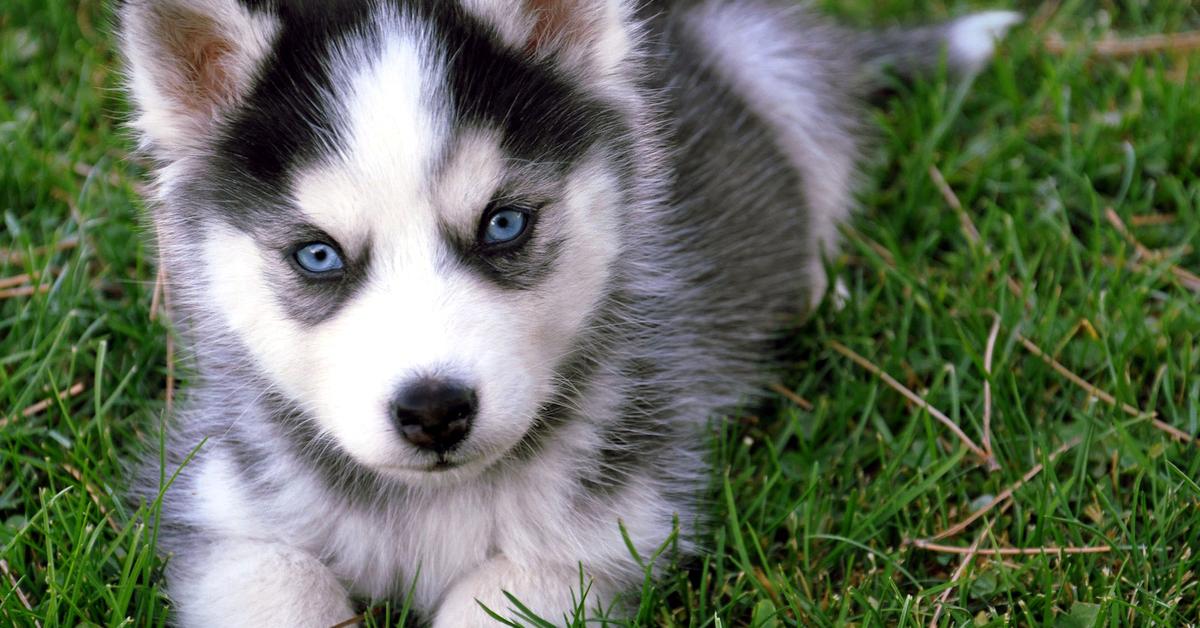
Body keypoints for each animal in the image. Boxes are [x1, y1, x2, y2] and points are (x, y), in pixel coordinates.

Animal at [117, 2, 1017, 624]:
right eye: (317, 256)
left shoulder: (609, 531)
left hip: (773, 65)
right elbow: (280, 578)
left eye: (504, 224)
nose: (435, 411)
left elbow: (500, 591)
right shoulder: (220, 503)